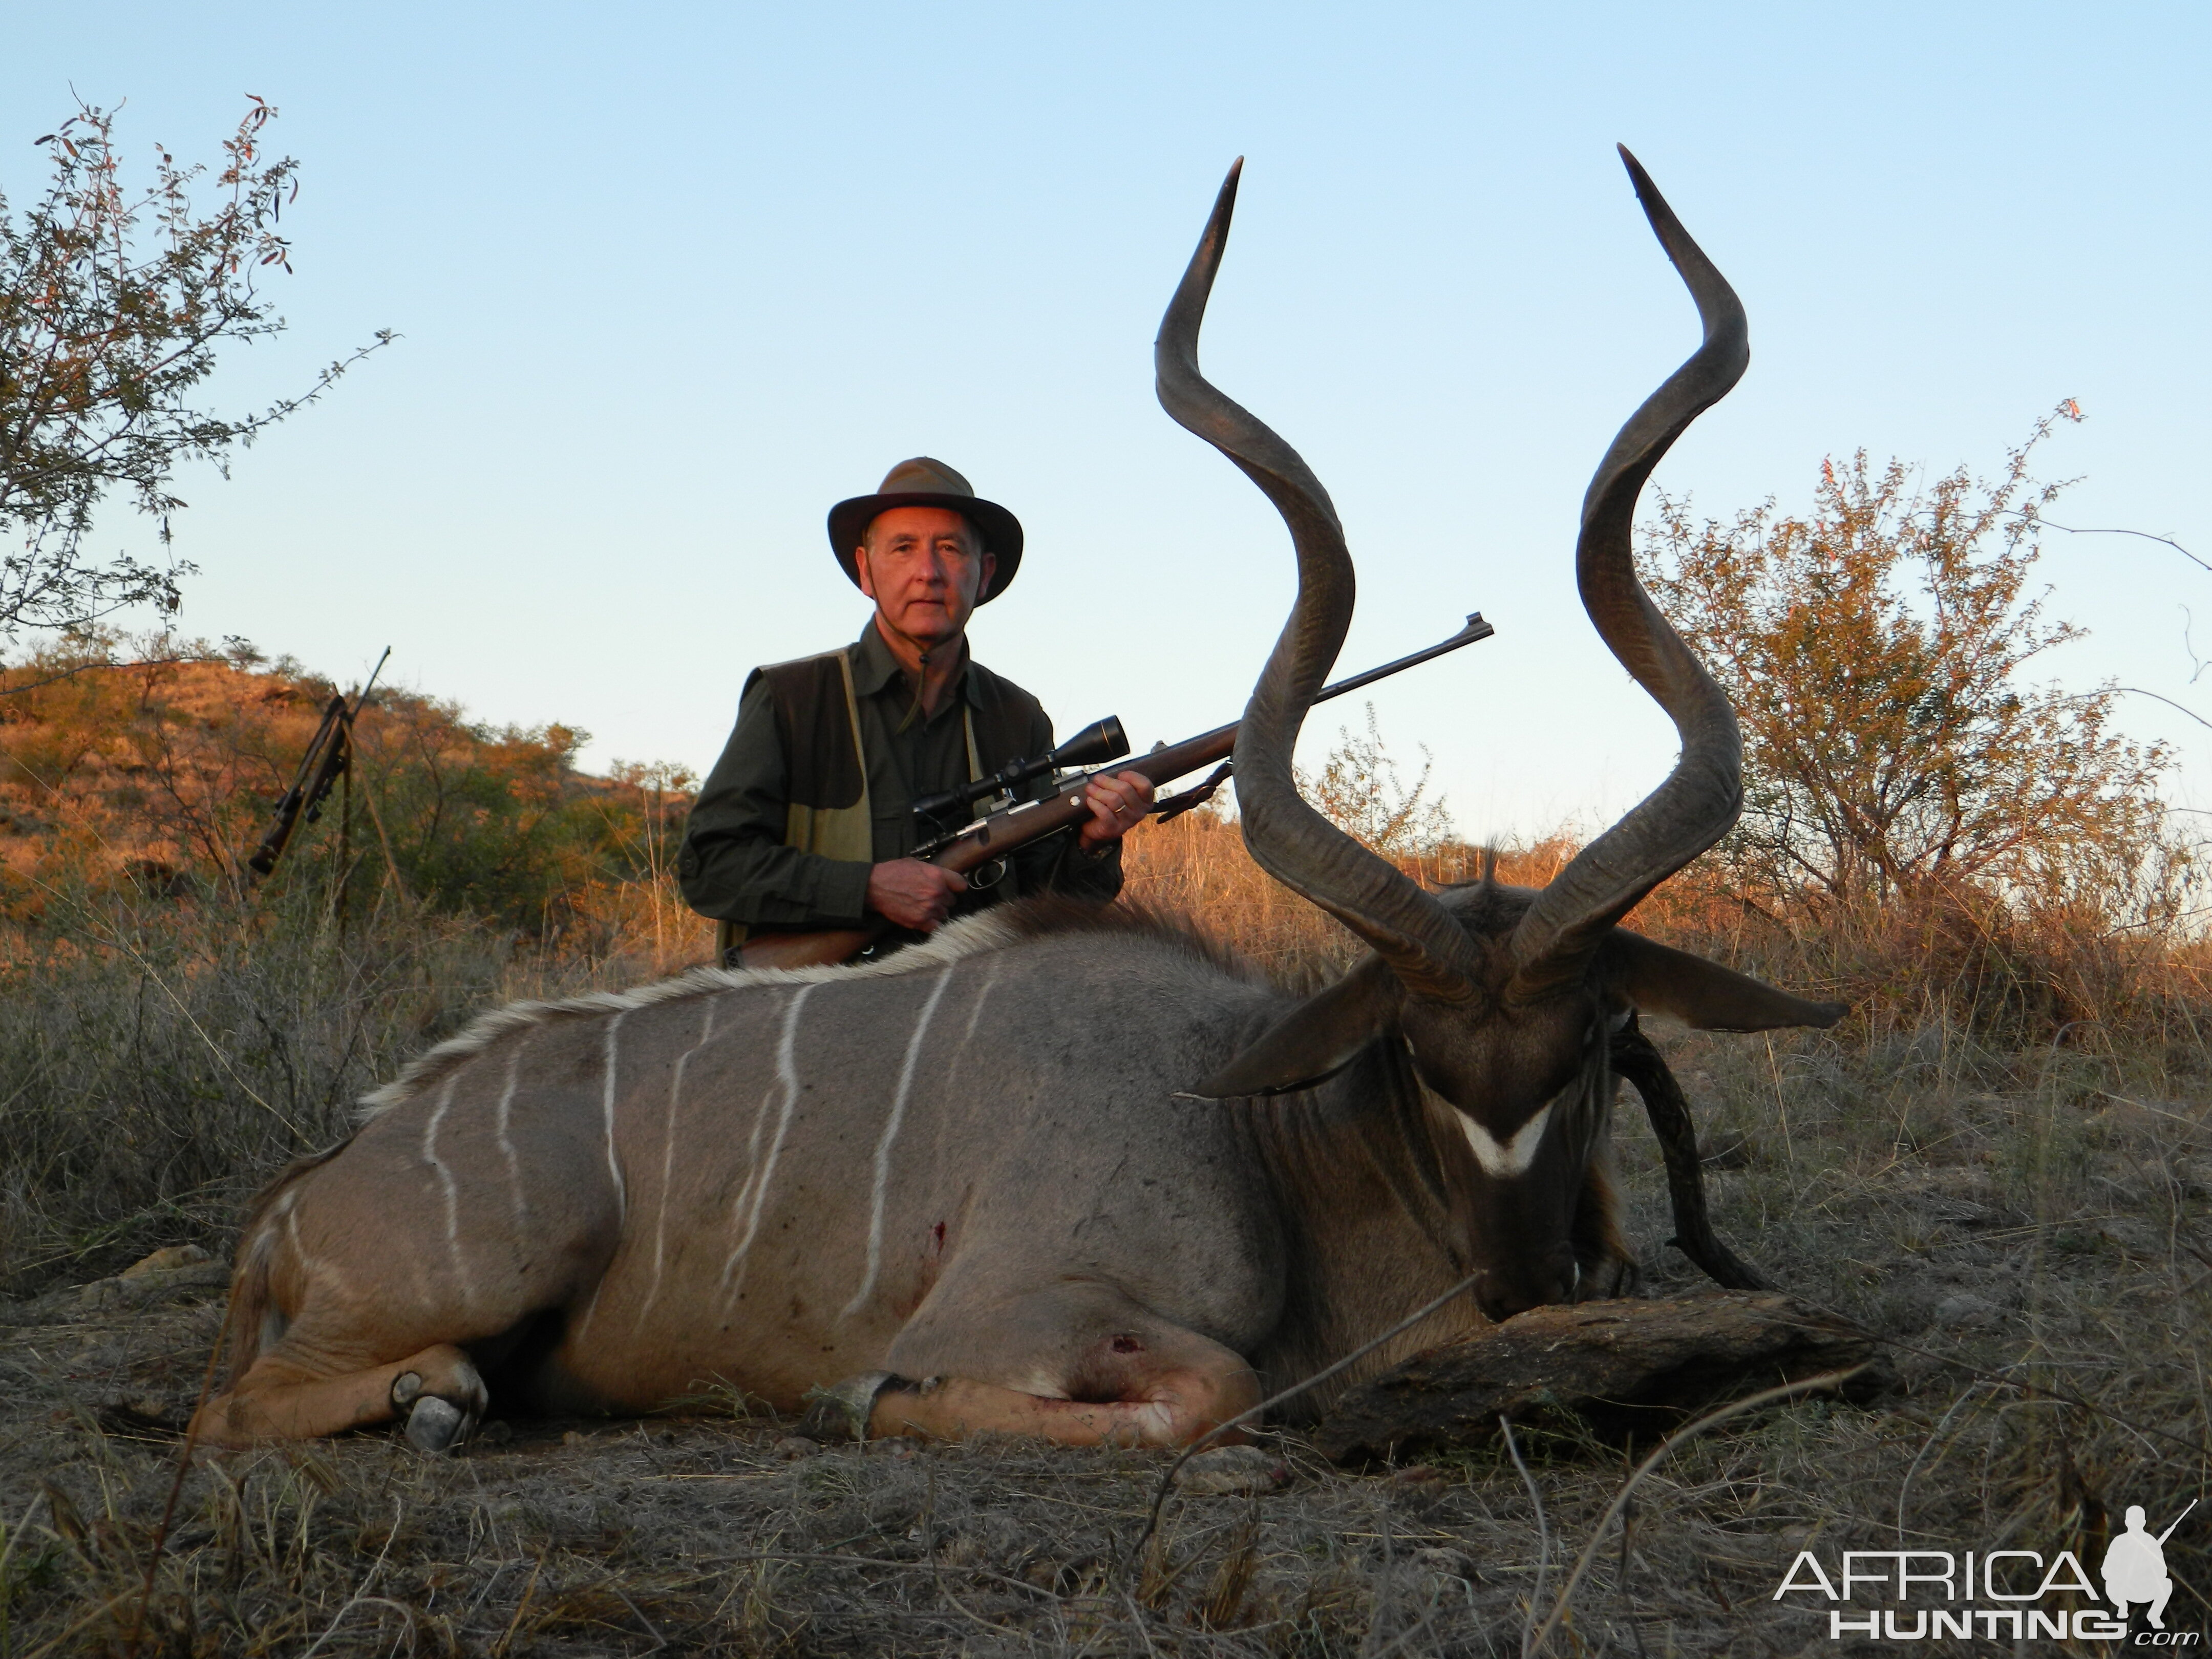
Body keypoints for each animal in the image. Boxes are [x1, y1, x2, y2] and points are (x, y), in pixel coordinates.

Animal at [195, 156, 1849, 1451]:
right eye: (1417, 1052)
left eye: (1593, 1040)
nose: (1522, 1281)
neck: (1267, 1137)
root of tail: (298, 1200)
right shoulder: (1022, 1308)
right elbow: (1207, 1393)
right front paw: (862, 1395)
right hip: (491, 1266)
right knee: (242, 1409)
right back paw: (432, 1395)